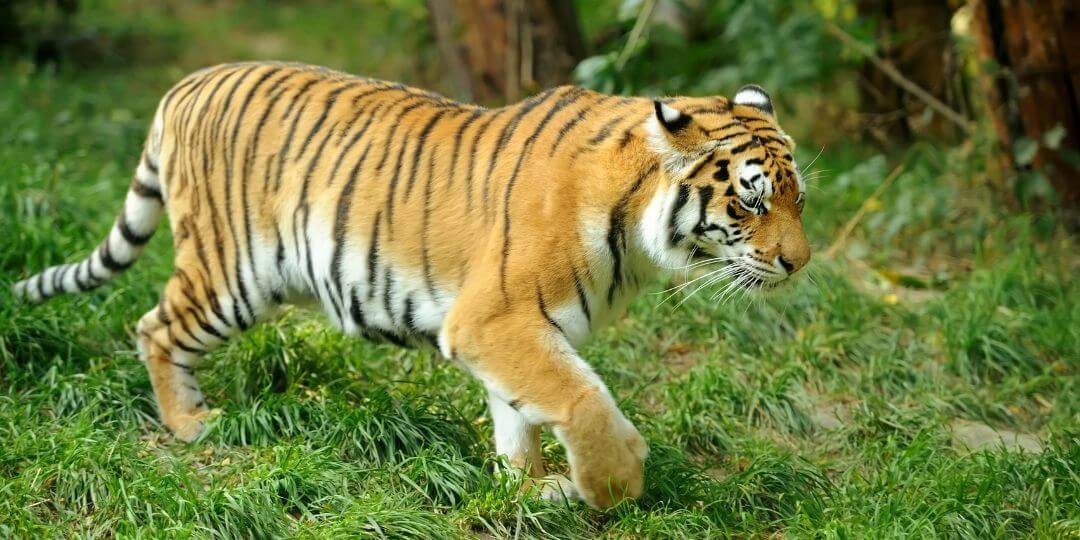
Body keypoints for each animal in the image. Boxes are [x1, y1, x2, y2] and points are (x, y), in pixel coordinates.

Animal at [14, 62, 810, 509]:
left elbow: (520, 412)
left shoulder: (522, 332)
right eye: (750, 203)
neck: (638, 236)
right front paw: (610, 486)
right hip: (229, 273)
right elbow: (583, 400)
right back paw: (190, 424)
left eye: (798, 199)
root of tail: (184, 86)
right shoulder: (495, 319)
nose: (799, 264)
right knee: (154, 327)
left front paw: (526, 487)